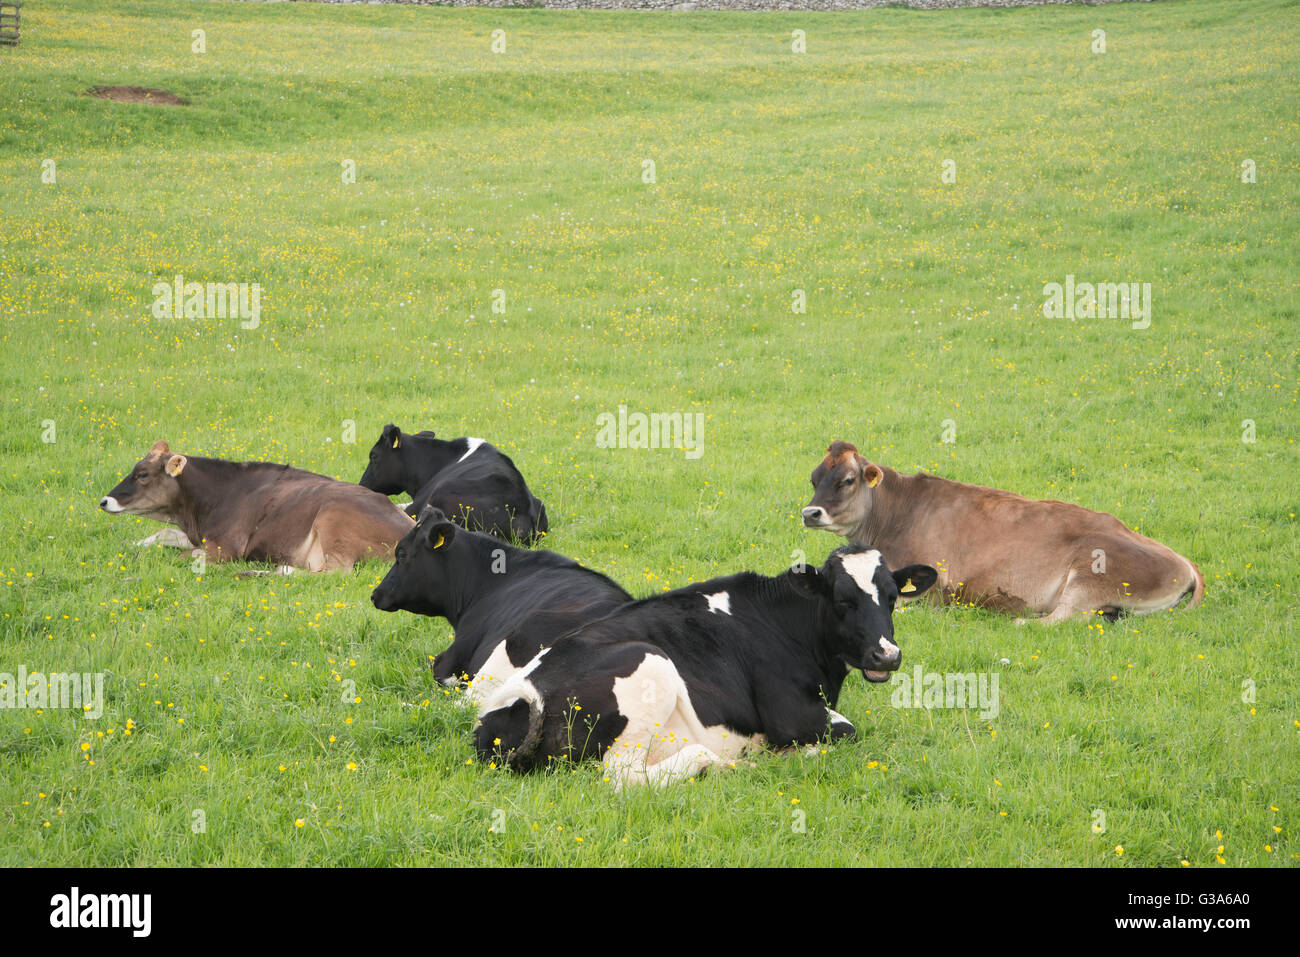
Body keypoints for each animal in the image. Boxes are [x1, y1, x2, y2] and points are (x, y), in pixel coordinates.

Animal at [100, 441, 414, 573]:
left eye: (142, 474)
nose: (104, 501)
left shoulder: (225, 547)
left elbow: (181, 557)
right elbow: (162, 535)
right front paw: (131, 545)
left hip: (333, 519)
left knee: (333, 573)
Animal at [473, 545, 938, 789]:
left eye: (892, 597)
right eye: (843, 600)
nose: (886, 655)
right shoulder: (792, 714)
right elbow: (846, 730)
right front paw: (793, 752)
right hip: (650, 668)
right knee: (623, 776)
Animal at [801, 441, 1204, 624]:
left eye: (848, 480)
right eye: (814, 479)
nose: (810, 512)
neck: (897, 514)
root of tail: (1184, 562)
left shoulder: (934, 587)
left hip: (1093, 572)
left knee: (1059, 619)